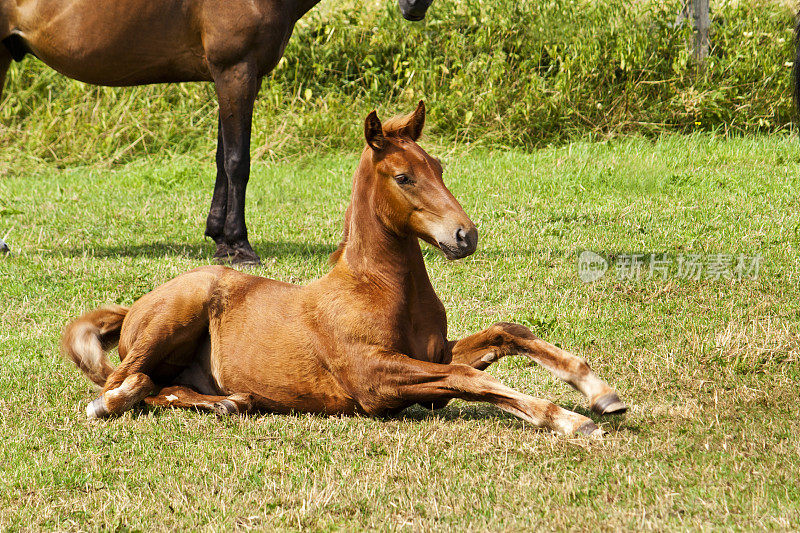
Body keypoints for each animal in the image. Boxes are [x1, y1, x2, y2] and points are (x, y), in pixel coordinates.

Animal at [0, 0, 434, 264]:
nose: (415, 6)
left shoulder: (238, 76)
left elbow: (222, 159)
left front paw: (219, 238)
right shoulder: (235, 70)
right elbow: (237, 161)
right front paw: (240, 245)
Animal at [62, 103, 624, 436]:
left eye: (438, 167)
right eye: (403, 177)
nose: (465, 235)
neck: (379, 287)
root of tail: (132, 307)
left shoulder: (432, 357)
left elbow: (506, 335)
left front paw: (600, 393)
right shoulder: (374, 379)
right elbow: (469, 376)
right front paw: (570, 419)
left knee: (159, 386)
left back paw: (228, 402)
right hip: (176, 315)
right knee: (122, 381)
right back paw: (112, 405)